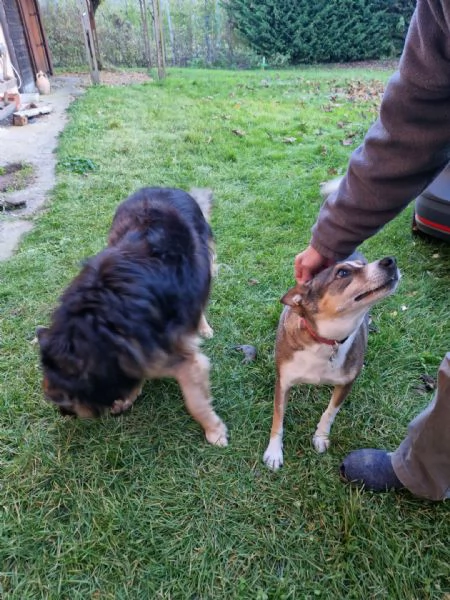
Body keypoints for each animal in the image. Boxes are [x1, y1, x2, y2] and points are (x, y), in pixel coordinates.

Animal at [37, 186, 229, 446]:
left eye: (61, 397)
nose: (64, 414)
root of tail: (166, 187)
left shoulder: (180, 359)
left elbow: (195, 402)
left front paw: (214, 431)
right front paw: (129, 396)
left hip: (203, 266)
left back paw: (203, 327)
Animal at [262, 254, 400, 468]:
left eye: (362, 266)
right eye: (342, 273)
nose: (390, 260)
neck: (326, 340)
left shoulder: (346, 383)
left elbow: (330, 412)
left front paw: (321, 437)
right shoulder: (283, 382)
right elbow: (278, 418)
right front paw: (274, 452)